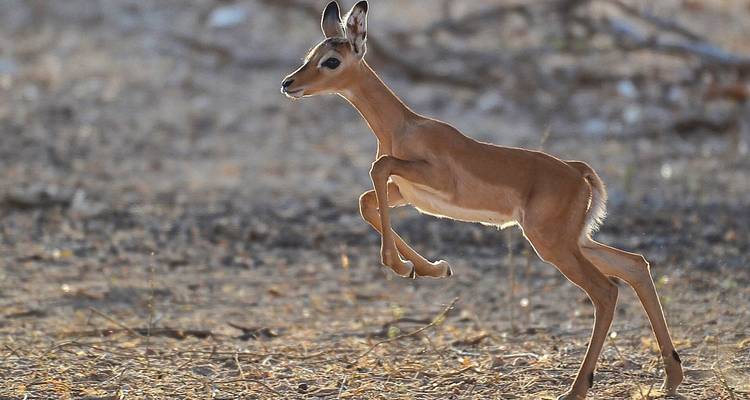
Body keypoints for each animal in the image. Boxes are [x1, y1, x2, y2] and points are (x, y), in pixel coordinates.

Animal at [280, 2, 683, 398]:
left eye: (331, 60)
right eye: (310, 54)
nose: (288, 83)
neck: (402, 128)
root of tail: (576, 171)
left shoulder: (432, 180)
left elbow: (377, 169)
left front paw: (401, 266)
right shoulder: (407, 194)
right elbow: (367, 200)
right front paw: (432, 268)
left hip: (552, 244)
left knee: (606, 290)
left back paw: (576, 389)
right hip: (574, 240)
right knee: (635, 265)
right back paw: (671, 378)